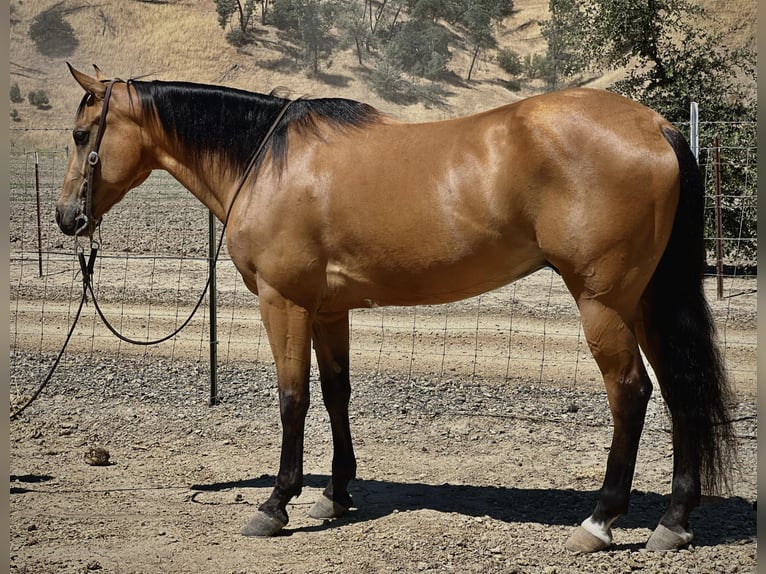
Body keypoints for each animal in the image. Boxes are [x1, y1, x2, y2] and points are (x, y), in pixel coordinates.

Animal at [55, 64, 736, 552]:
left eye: (83, 136)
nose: (67, 218)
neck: (268, 162)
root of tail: (657, 127)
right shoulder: (328, 310)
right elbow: (336, 393)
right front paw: (335, 495)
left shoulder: (285, 303)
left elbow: (293, 398)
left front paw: (275, 505)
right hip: (644, 300)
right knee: (680, 391)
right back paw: (673, 520)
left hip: (602, 301)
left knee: (632, 393)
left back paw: (599, 521)